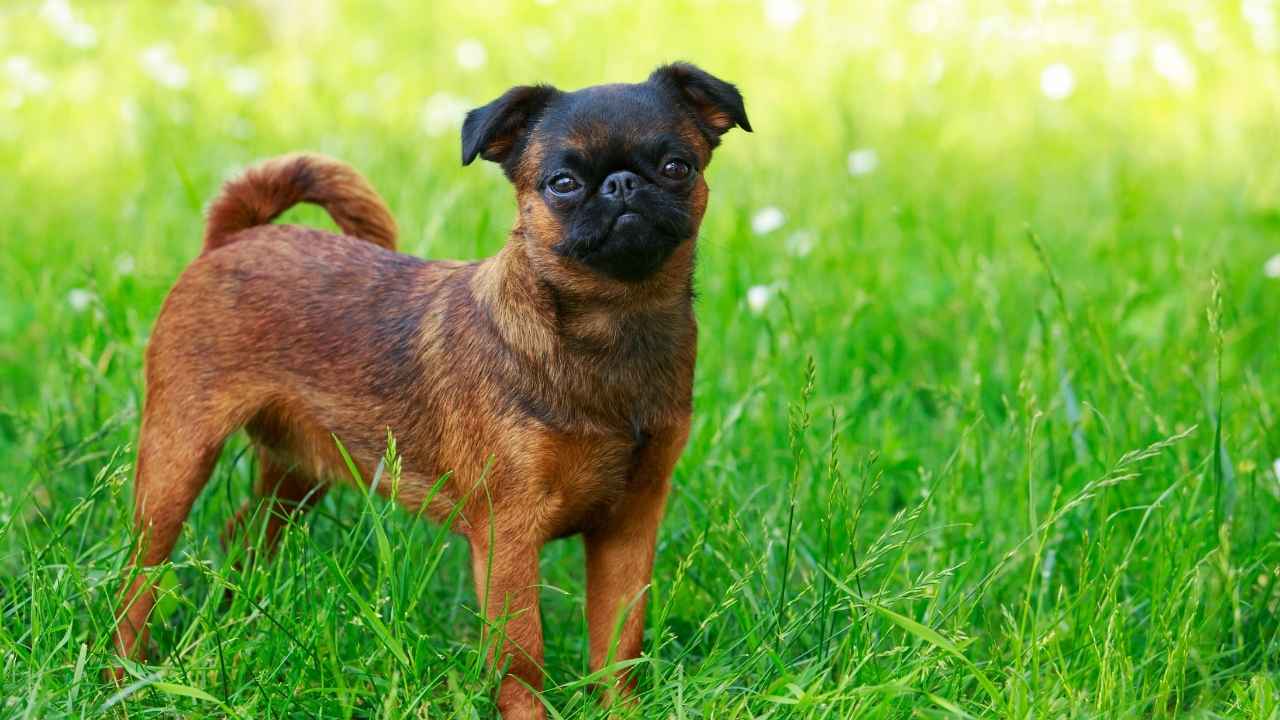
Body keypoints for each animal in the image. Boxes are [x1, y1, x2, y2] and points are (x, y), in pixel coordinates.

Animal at [112, 64, 747, 712]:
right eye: (563, 183)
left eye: (677, 167)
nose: (621, 184)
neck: (612, 327)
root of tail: (237, 237)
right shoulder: (507, 535)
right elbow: (522, 658)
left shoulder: (630, 524)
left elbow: (618, 646)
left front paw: (621, 711)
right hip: (177, 459)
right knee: (140, 574)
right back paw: (124, 672)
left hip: (301, 469)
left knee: (244, 532)